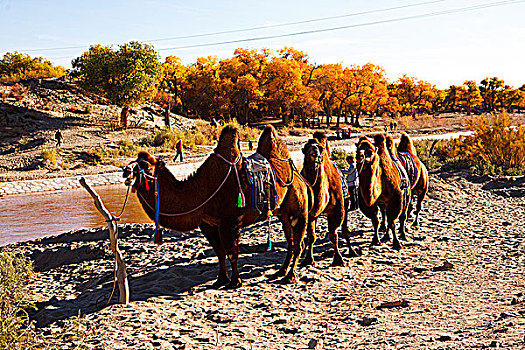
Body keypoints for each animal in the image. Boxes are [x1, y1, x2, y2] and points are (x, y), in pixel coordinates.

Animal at [123, 125, 310, 288]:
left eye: (145, 166)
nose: (125, 171)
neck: (202, 191)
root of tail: (299, 177)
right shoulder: (209, 224)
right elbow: (220, 252)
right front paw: (221, 280)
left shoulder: (231, 221)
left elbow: (232, 252)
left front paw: (235, 282)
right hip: (283, 213)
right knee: (291, 241)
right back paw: (281, 271)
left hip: (298, 208)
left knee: (298, 243)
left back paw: (290, 276)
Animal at [300, 132, 358, 266]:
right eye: (305, 148)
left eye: (320, 148)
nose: (315, 152)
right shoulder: (310, 213)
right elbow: (311, 236)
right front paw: (308, 259)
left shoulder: (336, 210)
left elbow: (333, 235)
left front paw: (338, 259)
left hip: (345, 204)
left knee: (345, 230)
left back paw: (352, 251)